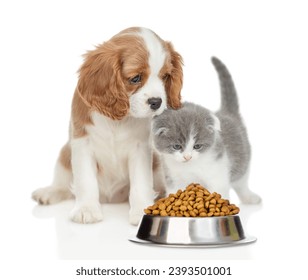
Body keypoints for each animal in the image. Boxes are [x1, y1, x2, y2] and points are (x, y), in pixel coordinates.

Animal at [152, 57, 260, 202]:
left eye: (197, 146)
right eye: (176, 146)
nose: (187, 157)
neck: (189, 167)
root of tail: (227, 113)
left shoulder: (217, 173)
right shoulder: (173, 177)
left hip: (243, 157)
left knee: (242, 181)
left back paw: (249, 197)